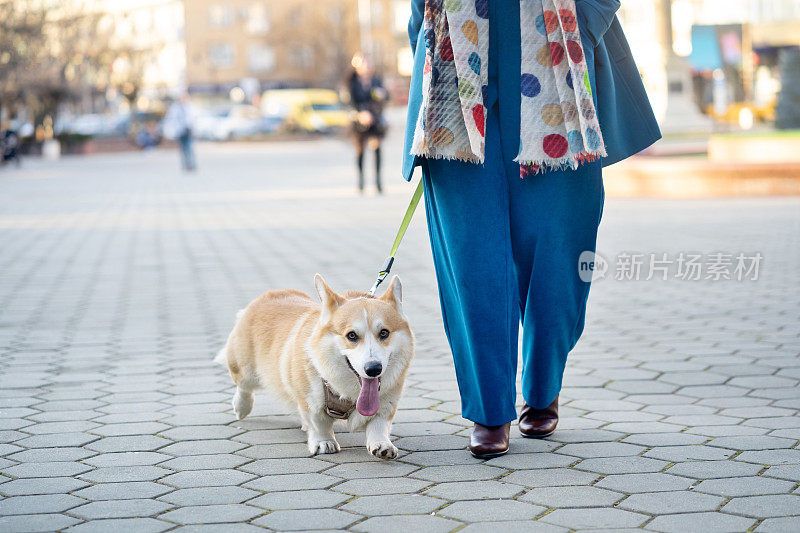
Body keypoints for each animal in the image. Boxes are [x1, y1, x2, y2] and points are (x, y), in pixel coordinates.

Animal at [216, 274, 416, 458]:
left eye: (384, 333)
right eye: (351, 335)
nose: (373, 369)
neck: (349, 391)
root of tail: (268, 295)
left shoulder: (387, 402)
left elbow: (378, 424)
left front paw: (382, 445)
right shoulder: (309, 399)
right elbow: (318, 422)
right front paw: (323, 442)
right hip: (245, 368)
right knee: (243, 385)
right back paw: (241, 407)